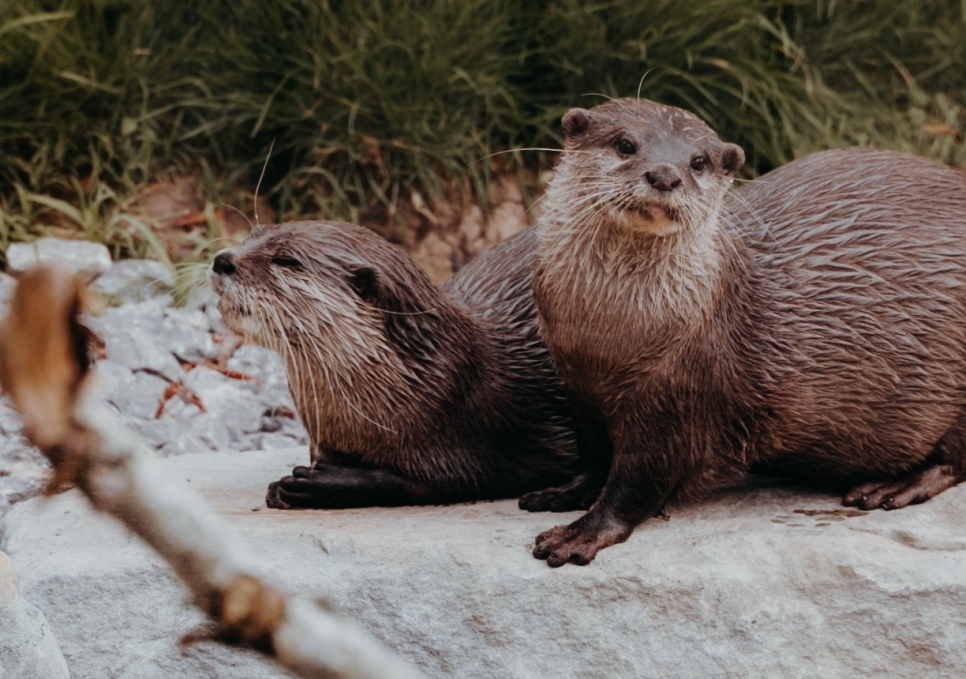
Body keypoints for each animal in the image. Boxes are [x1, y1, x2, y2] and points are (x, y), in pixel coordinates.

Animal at [210, 223, 584, 510]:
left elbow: (446, 481)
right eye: (253, 234)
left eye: (287, 260)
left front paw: (314, 484)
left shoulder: (474, 437)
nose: (222, 260)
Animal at [532, 97, 966, 568]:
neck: (607, 339)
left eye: (698, 162)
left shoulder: (679, 396)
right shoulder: (578, 389)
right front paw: (562, 492)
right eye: (625, 144)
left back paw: (894, 486)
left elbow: (637, 483)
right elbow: (593, 457)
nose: (665, 175)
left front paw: (580, 534)